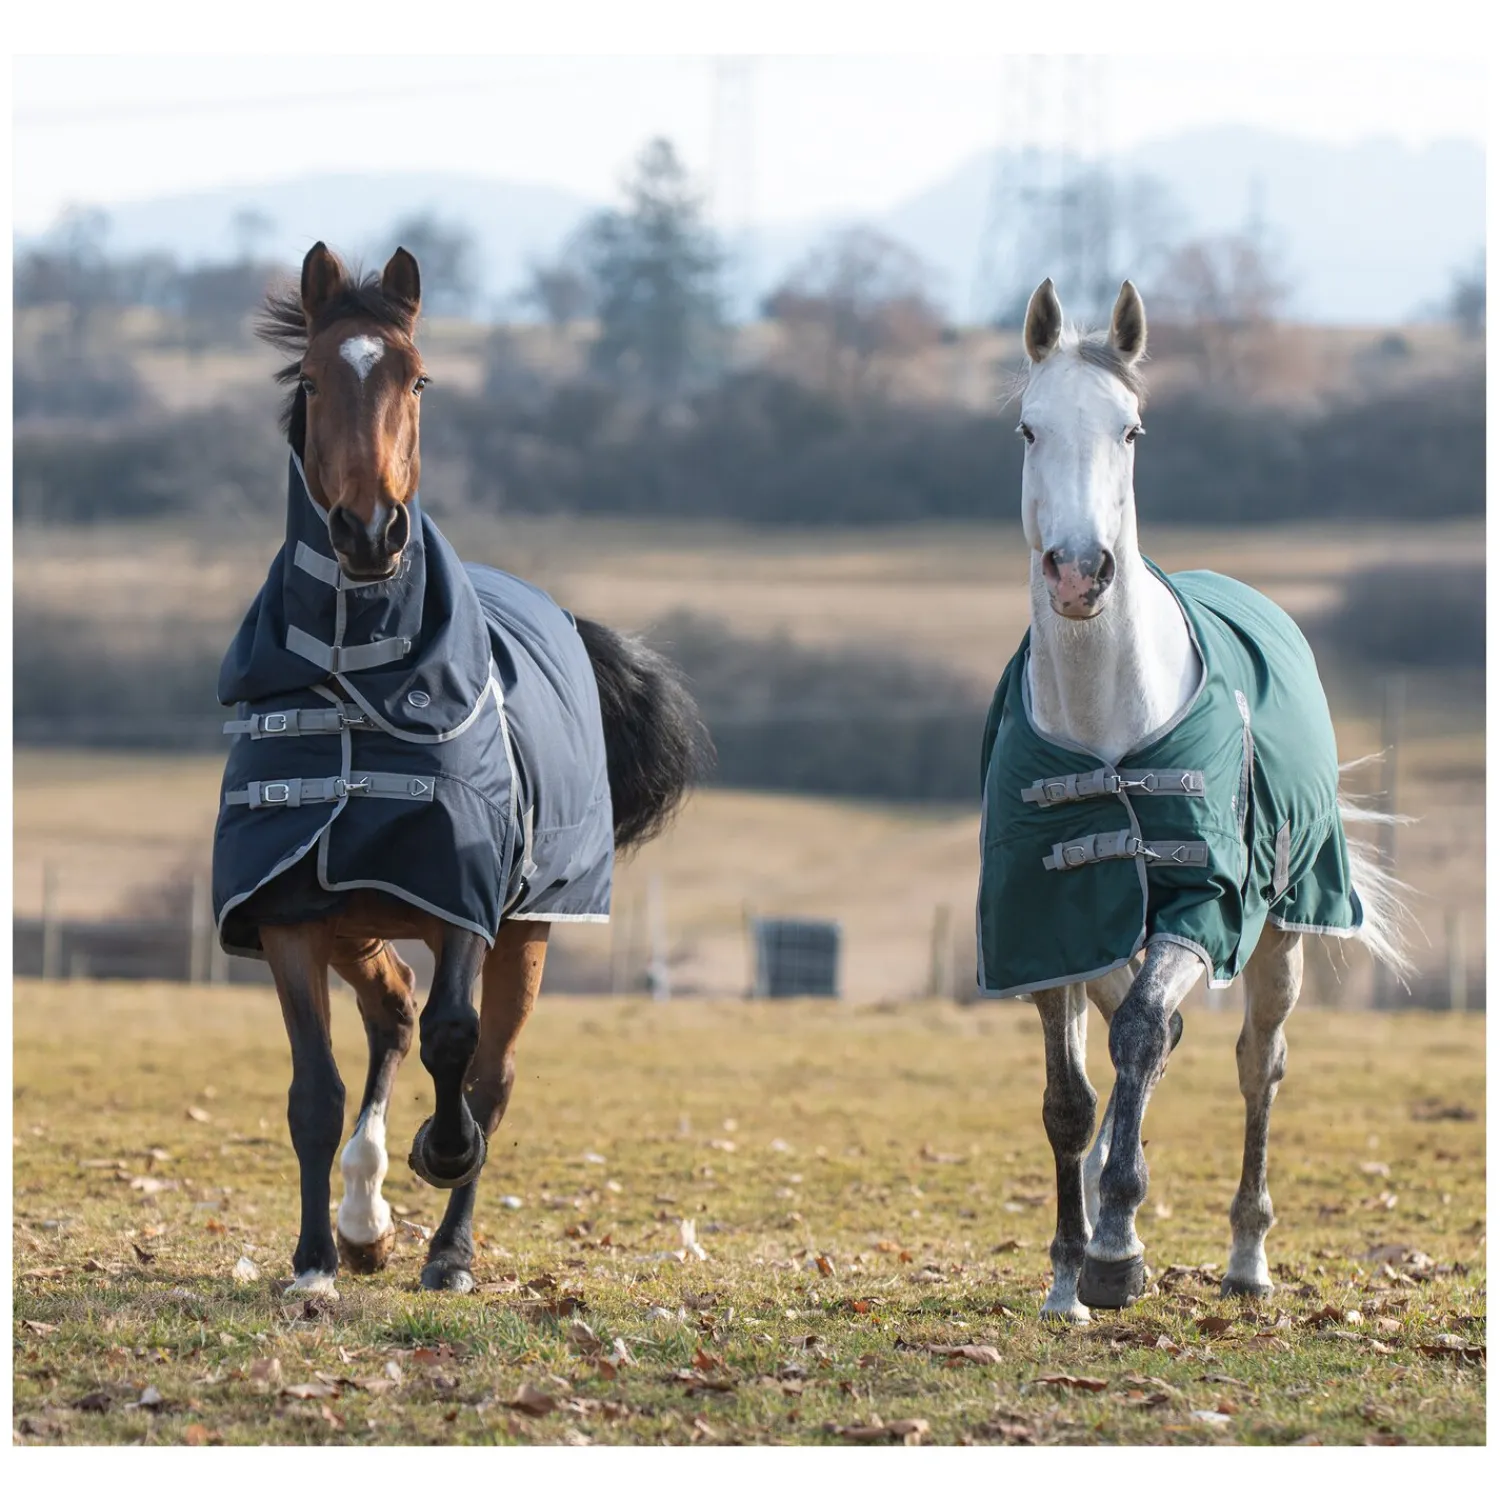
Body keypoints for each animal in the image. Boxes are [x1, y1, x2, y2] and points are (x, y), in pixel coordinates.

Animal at [211, 242, 710, 1297]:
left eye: (417, 379)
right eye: (311, 380)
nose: (368, 533)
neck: (358, 679)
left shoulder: (465, 899)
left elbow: (457, 1042)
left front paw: (443, 1156)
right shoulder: (290, 908)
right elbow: (314, 1090)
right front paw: (315, 1259)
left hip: (528, 926)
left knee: (489, 1068)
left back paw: (448, 1246)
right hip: (355, 916)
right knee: (392, 1013)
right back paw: (364, 1221)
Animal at [977, 278, 1410, 1321]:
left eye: (1130, 430)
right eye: (1028, 427)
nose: (1080, 571)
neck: (1106, 722)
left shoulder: (1203, 910)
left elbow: (1141, 1036)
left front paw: (1115, 1252)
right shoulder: (1047, 929)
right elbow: (1070, 1098)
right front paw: (1068, 1270)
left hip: (1283, 934)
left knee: (1257, 1066)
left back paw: (1247, 1258)